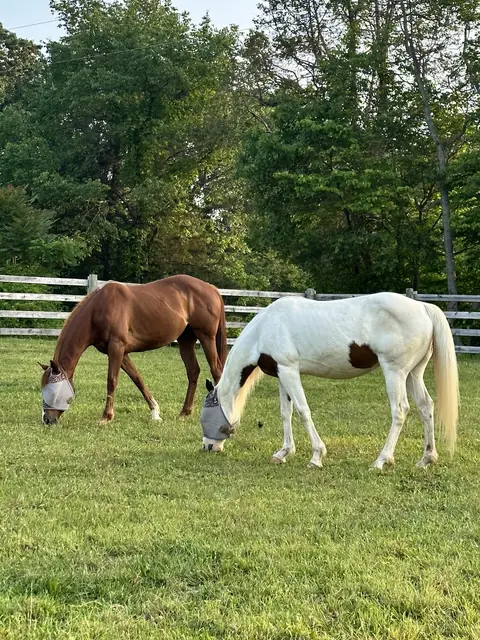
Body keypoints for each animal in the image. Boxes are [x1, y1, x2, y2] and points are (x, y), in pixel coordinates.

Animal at [40, 275, 227, 425]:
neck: (99, 308)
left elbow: (112, 380)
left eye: (52, 390)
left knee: (216, 370)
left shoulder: (116, 347)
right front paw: (155, 413)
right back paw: (184, 412)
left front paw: (106, 417)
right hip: (186, 341)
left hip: (206, 338)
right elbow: (137, 379)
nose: (47, 419)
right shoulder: (121, 353)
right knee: (193, 371)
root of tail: (212, 288)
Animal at [200, 292, 459, 470]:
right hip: (412, 374)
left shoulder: (290, 371)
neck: (265, 328)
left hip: (395, 372)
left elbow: (303, 411)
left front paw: (316, 456)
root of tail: (423, 307)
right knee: (426, 406)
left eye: (204, 418)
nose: (208, 447)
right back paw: (426, 458)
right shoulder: (282, 373)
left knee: (400, 410)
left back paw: (381, 460)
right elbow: (286, 413)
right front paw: (283, 453)